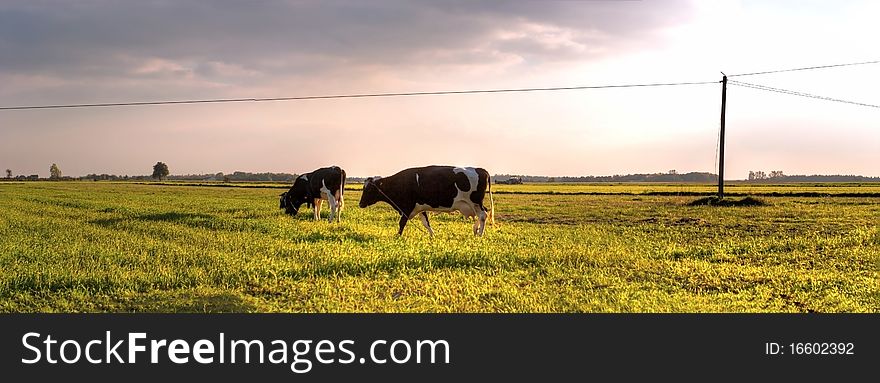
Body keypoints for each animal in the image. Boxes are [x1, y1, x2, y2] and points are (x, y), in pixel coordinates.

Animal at [360, 166, 496, 237]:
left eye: (369, 189)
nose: (360, 204)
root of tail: (480, 169)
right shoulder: (420, 208)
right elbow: (426, 223)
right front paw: (433, 236)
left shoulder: (407, 207)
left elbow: (401, 223)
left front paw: (398, 236)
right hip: (474, 204)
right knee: (483, 213)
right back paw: (475, 230)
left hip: (475, 201)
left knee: (483, 215)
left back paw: (480, 234)